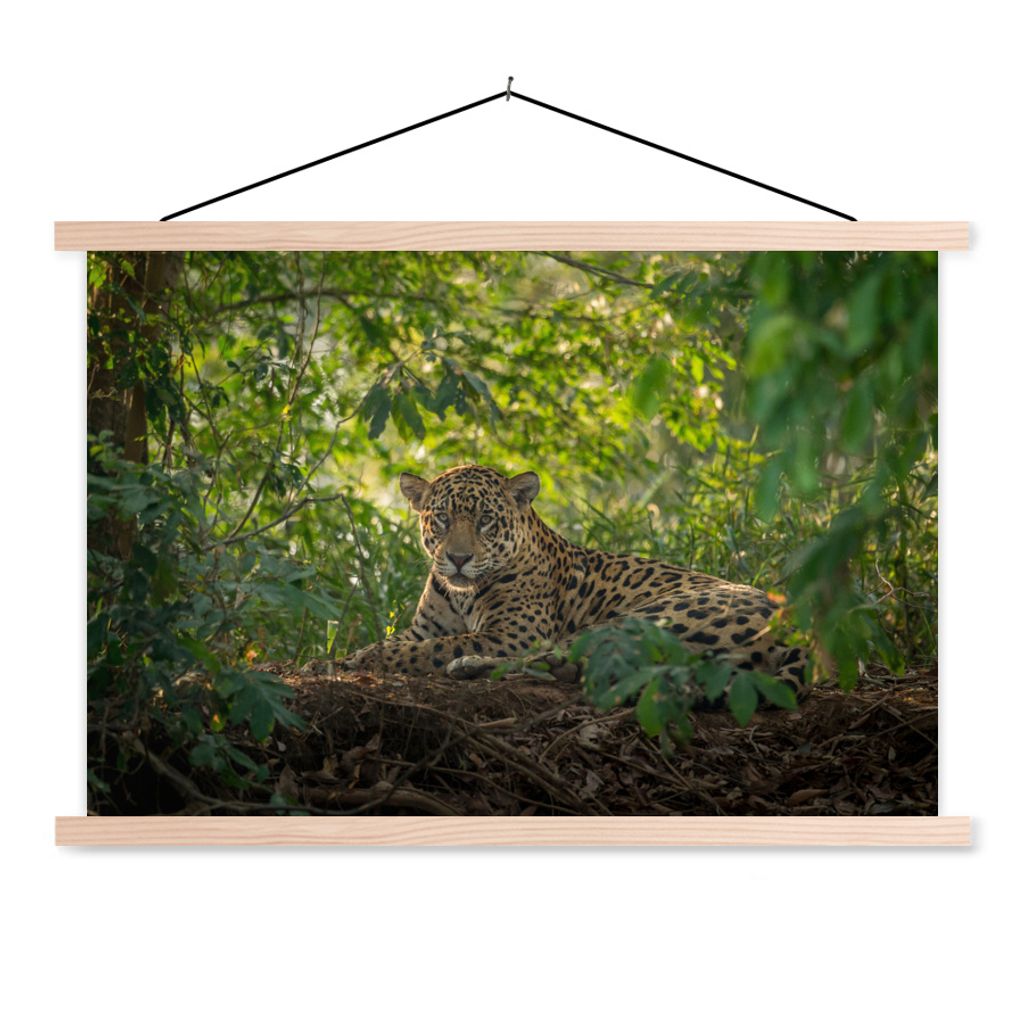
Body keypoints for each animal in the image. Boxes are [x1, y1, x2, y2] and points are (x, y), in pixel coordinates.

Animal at [339, 464, 808, 696]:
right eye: (441, 518)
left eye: (486, 520)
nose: (457, 558)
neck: (460, 594)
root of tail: (792, 631)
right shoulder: (423, 627)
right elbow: (408, 641)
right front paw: (346, 657)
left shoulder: (512, 633)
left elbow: (432, 649)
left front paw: (361, 660)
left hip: (640, 620)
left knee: (559, 660)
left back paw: (468, 665)